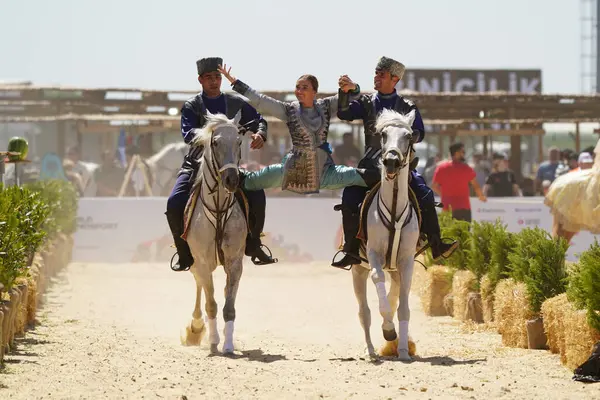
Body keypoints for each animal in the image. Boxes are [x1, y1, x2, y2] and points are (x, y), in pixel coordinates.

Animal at [183, 111, 248, 354]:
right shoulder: (201, 261)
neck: (219, 209)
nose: (232, 179)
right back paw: (195, 327)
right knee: (200, 287)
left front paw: (228, 345)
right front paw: (213, 342)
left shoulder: (235, 262)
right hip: (195, 263)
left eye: (239, 141)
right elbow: (211, 303)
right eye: (216, 142)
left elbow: (229, 306)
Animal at [350, 109, 420, 362]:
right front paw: (389, 331)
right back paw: (371, 351)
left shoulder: (406, 261)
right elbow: (378, 281)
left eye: (408, 136)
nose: (391, 161)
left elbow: (403, 307)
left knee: (394, 295)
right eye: (383, 135)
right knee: (364, 312)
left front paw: (403, 350)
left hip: (395, 268)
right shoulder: (373, 256)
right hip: (357, 270)